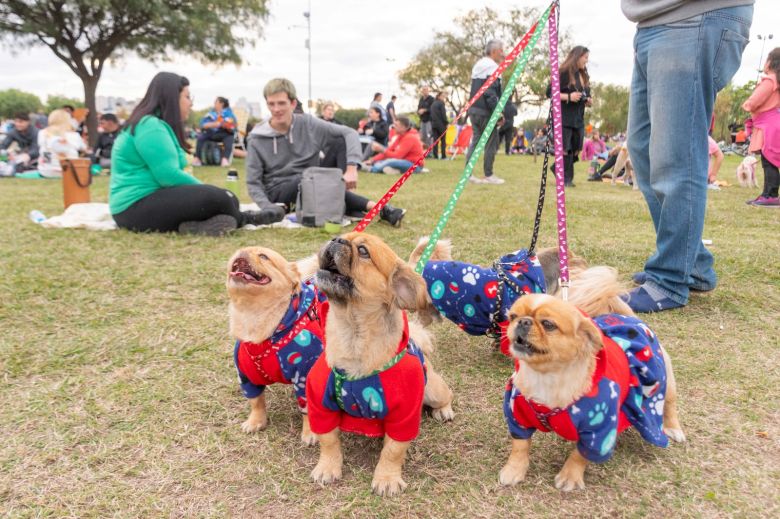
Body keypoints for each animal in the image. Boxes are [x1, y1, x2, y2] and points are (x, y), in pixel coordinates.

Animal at [227, 246, 324, 444]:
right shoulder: (246, 375)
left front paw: (310, 433)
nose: (243, 250)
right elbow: (256, 401)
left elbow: (307, 410)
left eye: (264, 256)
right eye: (238, 250)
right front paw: (256, 422)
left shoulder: (304, 376)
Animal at [304, 234, 454, 498]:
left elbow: (393, 451)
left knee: (447, 395)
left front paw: (387, 479)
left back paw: (443, 410)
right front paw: (327, 468)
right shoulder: (320, 404)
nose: (336, 238)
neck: (353, 336)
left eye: (363, 251)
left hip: (434, 390)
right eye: (342, 236)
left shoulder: (404, 415)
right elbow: (328, 441)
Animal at [500, 294, 684, 494]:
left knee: (670, 405)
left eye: (548, 324)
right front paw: (513, 470)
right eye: (512, 316)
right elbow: (520, 447)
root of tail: (633, 320)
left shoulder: (599, 433)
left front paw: (570, 477)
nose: (523, 321)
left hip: (666, 382)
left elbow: (579, 455)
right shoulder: (518, 416)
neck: (547, 377)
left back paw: (674, 429)